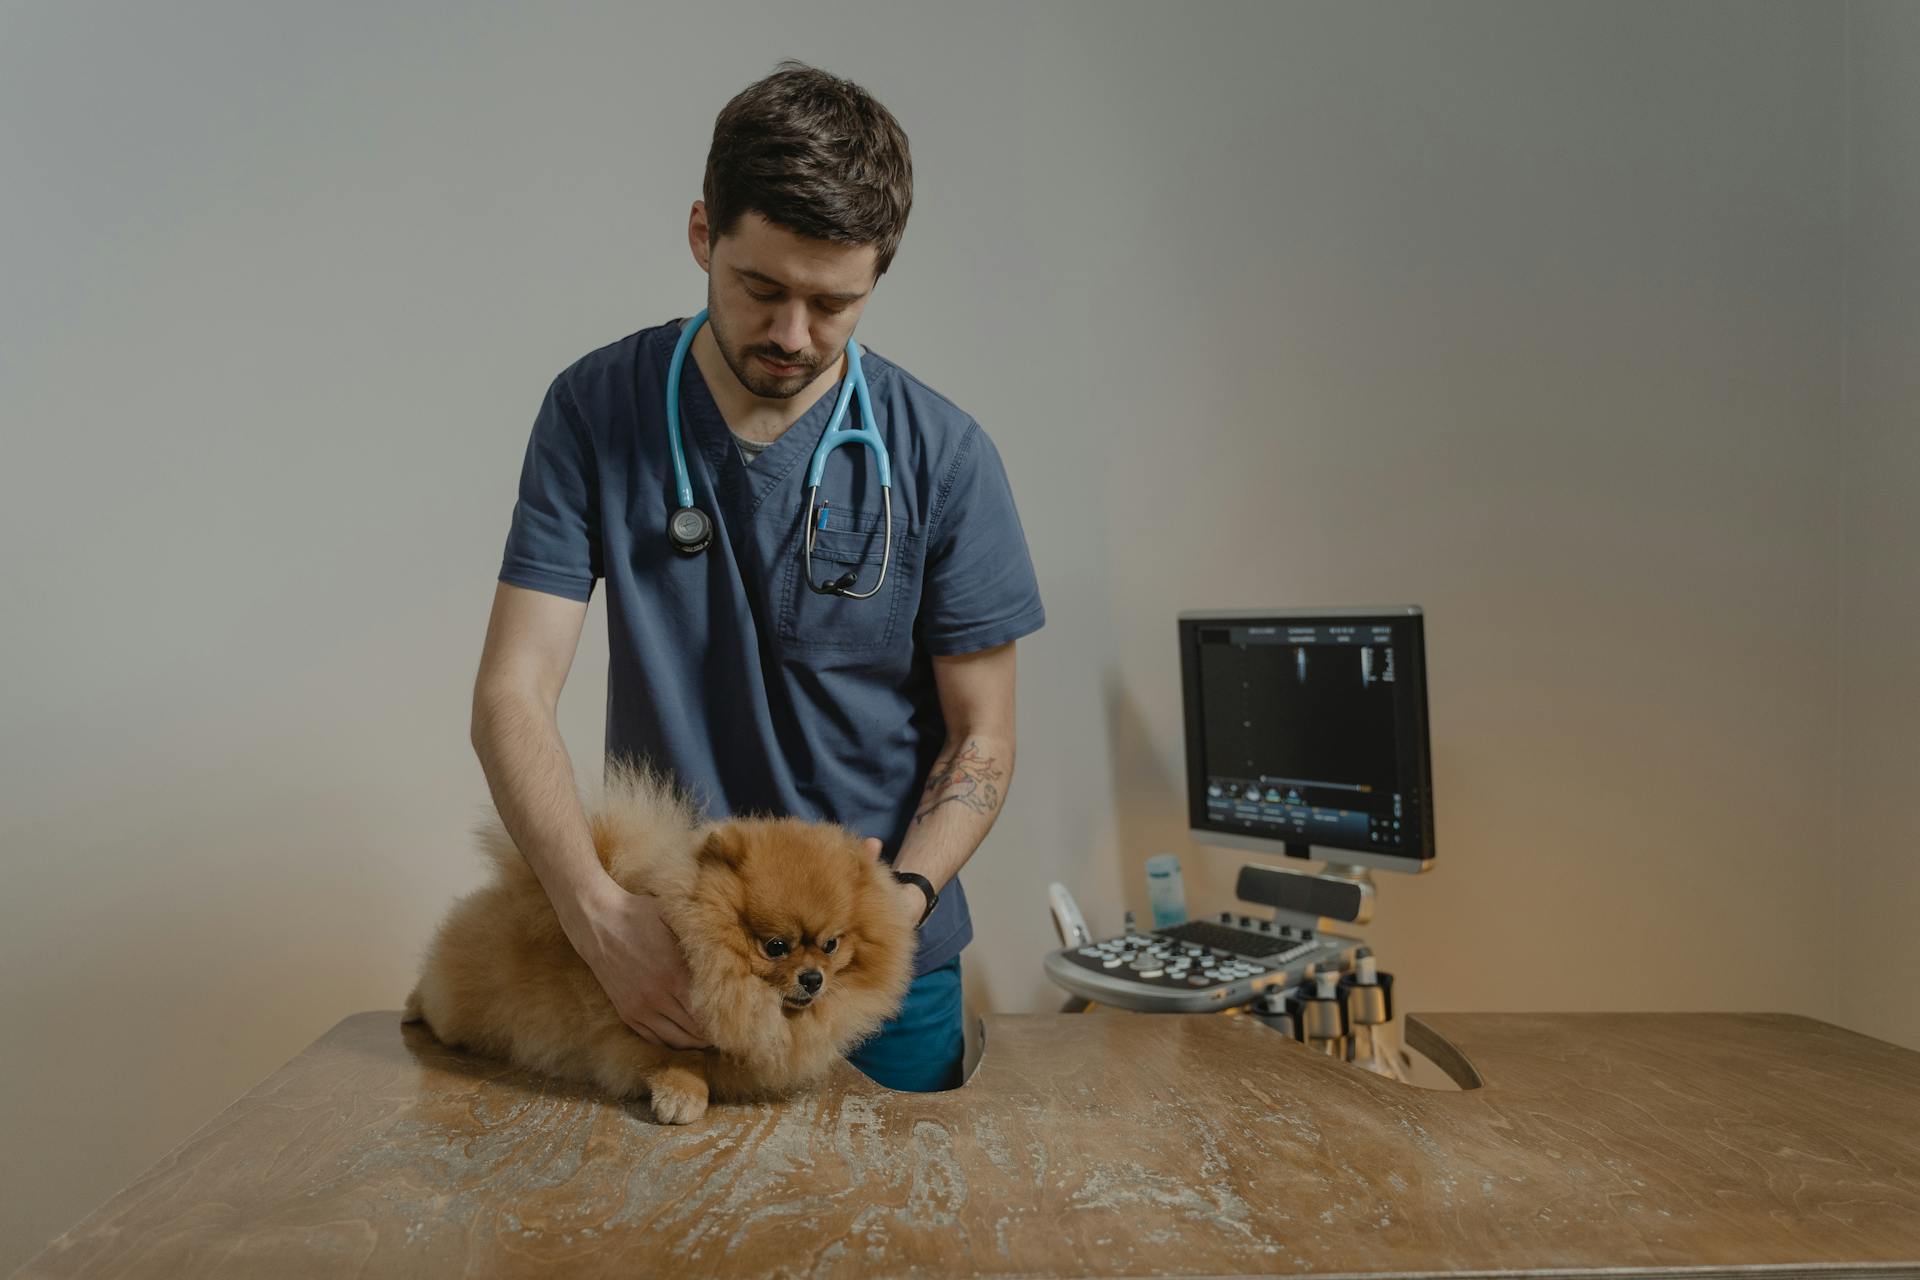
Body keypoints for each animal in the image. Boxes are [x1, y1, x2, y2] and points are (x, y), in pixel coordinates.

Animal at [403, 767, 913, 1128]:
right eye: (775, 946)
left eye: (831, 944)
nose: (812, 979)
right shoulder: (646, 1029)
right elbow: (682, 1060)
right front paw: (682, 1095)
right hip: (459, 1009)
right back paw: (411, 1007)